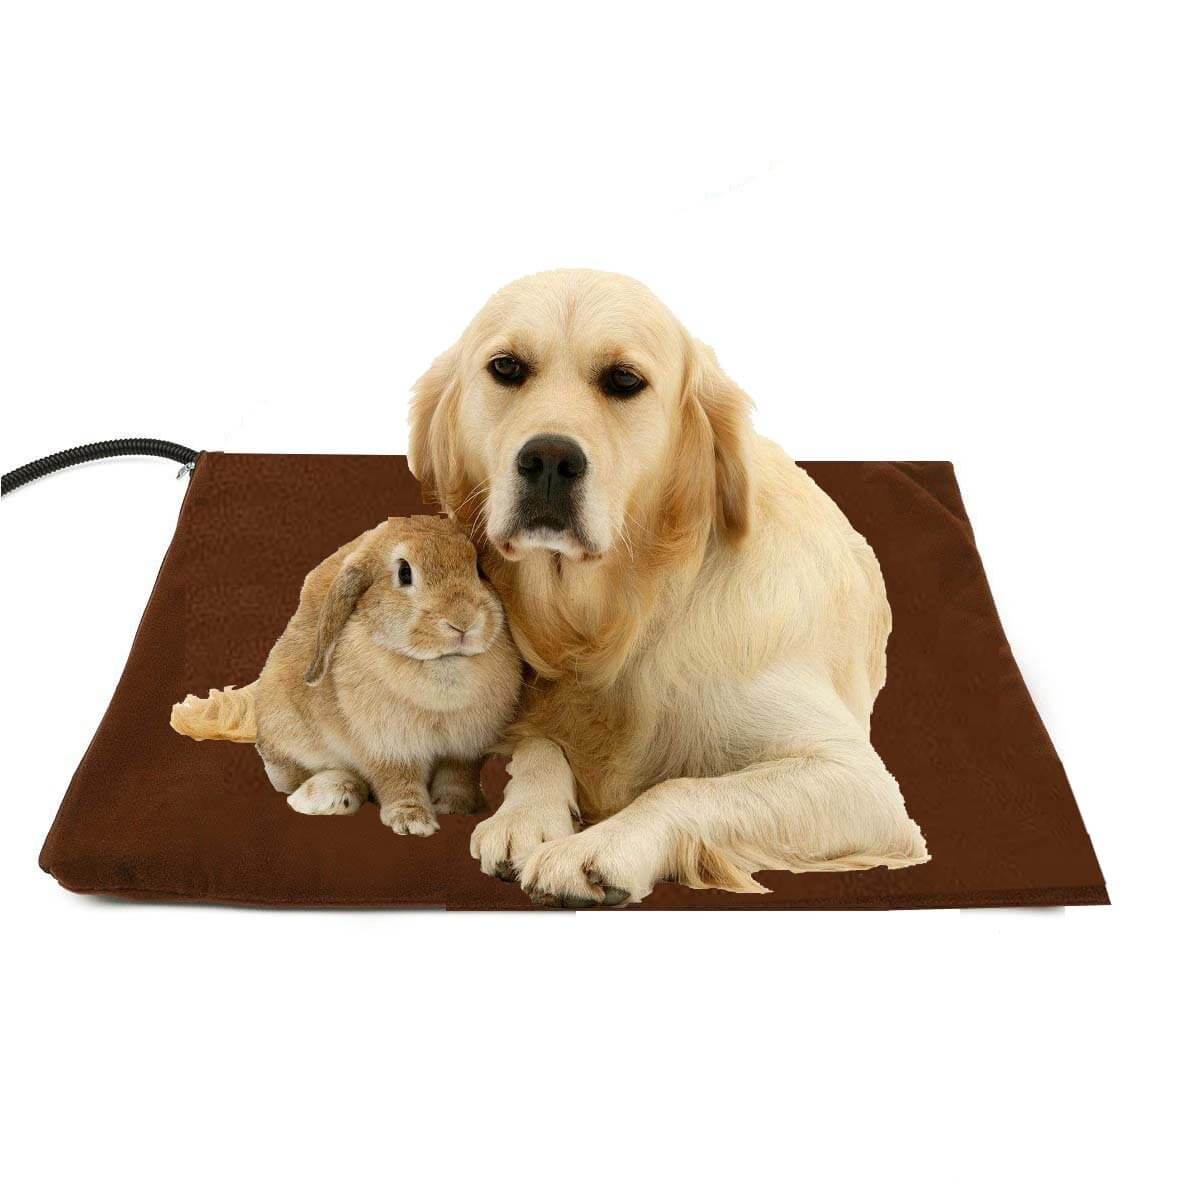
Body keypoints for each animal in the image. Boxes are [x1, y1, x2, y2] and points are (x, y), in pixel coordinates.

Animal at [171, 515, 522, 836]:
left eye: (478, 568)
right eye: (404, 572)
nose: (463, 622)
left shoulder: (463, 751)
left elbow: (457, 778)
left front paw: (455, 807)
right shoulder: (386, 747)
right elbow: (399, 783)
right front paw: (413, 822)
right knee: (293, 781)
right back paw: (332, 794)